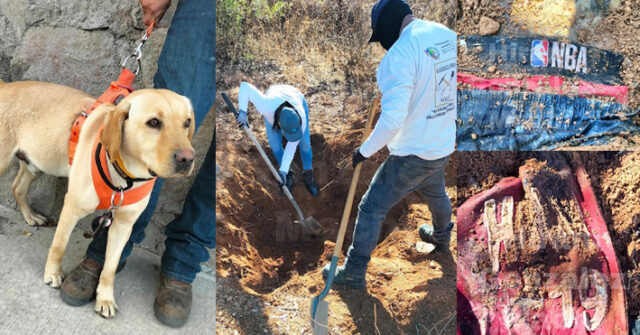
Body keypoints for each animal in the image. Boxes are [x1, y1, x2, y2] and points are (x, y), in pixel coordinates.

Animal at [0, 80, 194, 318]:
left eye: (187, 122)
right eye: (154, 122)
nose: (188, 158)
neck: (125, 177)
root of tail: (5, 86)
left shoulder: (123, 225)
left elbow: (110, 268)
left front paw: (105, 298)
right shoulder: (72, 208)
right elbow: (59, 246)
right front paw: (53, 274)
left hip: (35, 162)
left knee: (17, 187)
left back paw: (30, 216)